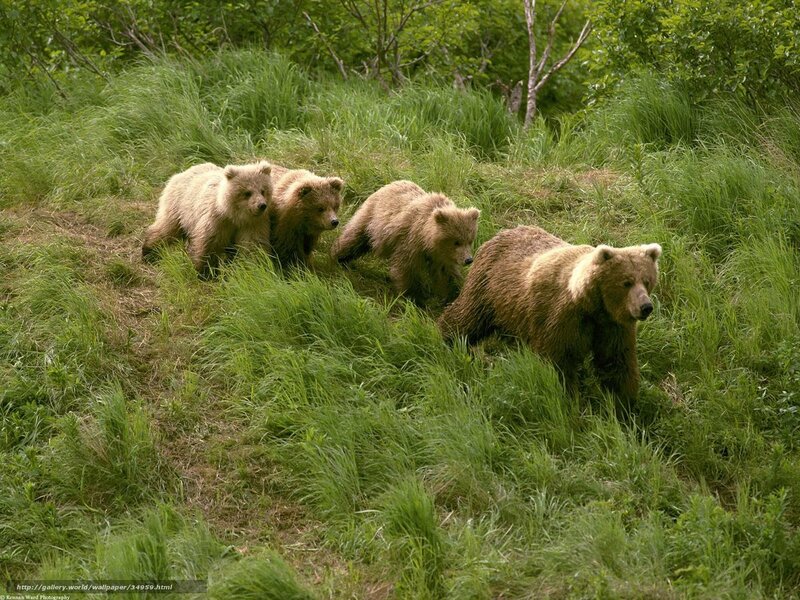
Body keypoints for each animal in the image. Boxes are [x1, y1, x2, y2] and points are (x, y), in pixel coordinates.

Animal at [142, 161, 273, 276]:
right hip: (178, 207)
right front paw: (206, 272)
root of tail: (181, 173)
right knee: (166, 228)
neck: (234, 215)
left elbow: (253, 246)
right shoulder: (216, 220)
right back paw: (148, 252)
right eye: (247, 193)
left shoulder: (252, 224)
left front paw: (254, 268)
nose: (261, 205)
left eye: (263, 190)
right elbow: (208, 244)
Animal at [331, 180, 480, 306]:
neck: (427, 239)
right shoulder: (410, 241)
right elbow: (405, 268)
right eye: (456, 242)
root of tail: (389, 184)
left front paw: (453, 295)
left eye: (470, 240)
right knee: (355, 236)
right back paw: (338, 256)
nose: (468, 259)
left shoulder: (441, 257)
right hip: (372, 218)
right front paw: (414, 297)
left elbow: (446, 275)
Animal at [438, 225, 661, 404]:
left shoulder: (611, 327)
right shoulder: (560, 318)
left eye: (647, 280)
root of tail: (500, 233)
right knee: (466, 318)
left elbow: (616, 364)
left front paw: (624, 404)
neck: (591, 307)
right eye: (626, 282)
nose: (645, 306)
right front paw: (568, 398)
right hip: (488, 290)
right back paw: (446, 337)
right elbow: (558, 363)